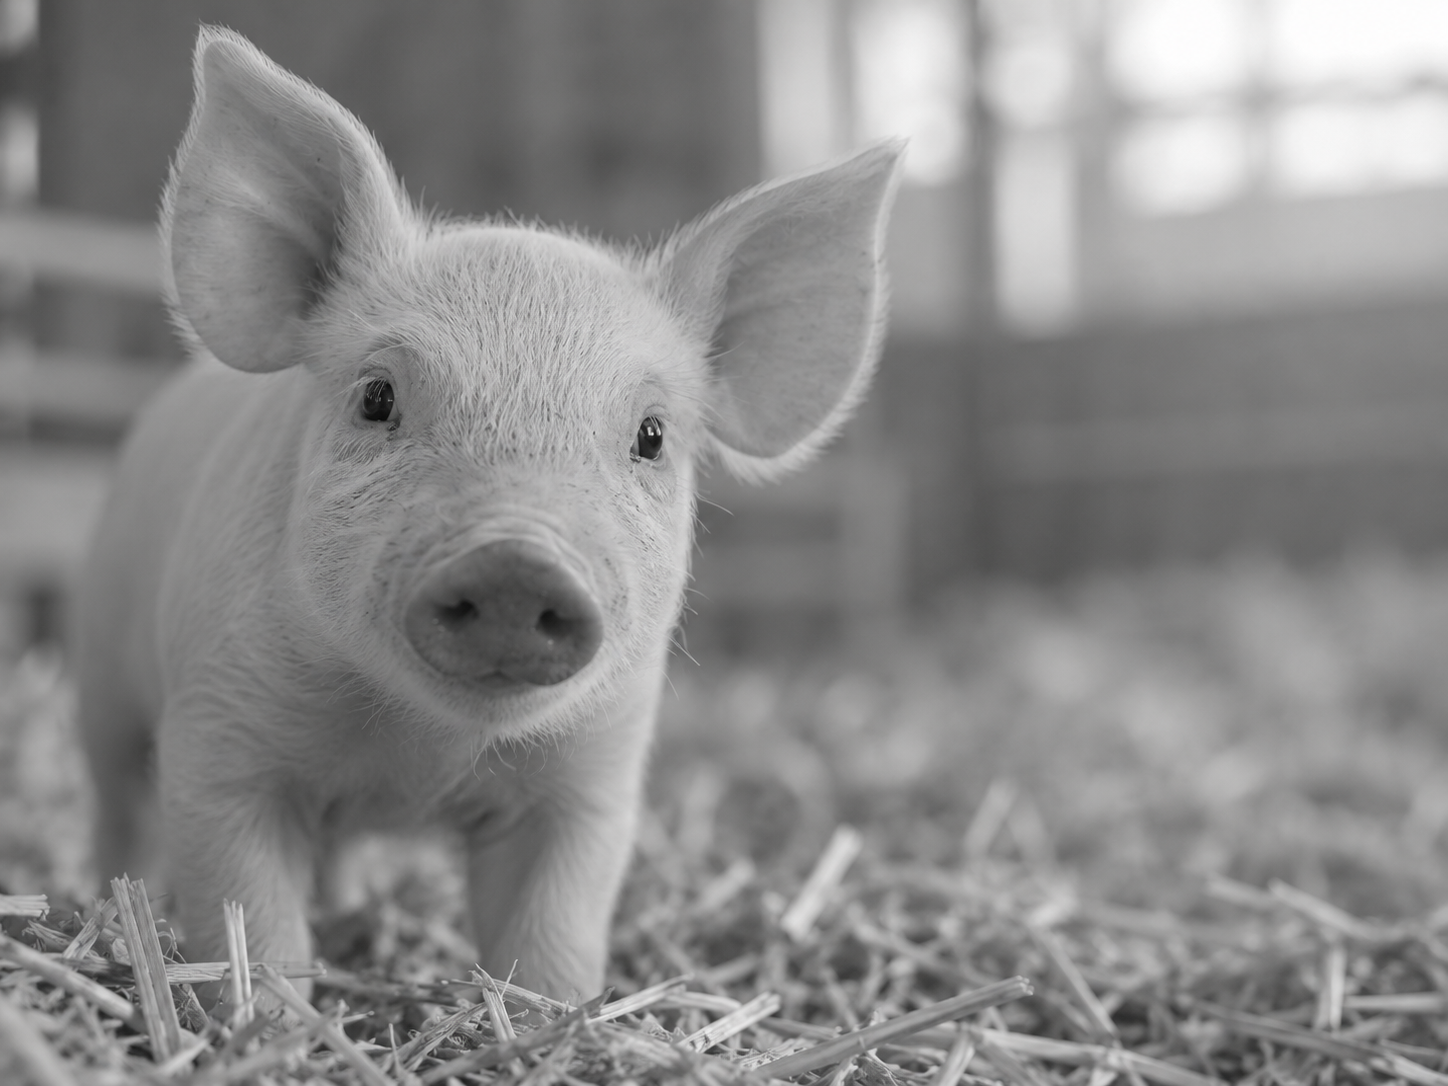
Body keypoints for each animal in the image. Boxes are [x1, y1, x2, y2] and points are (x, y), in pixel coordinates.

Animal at [74, 26, 902, 1004]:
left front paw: (553, 1011)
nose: (518, 561)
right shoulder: (220, 733)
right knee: (114, 803)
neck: (420, 756)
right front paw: (264, 1015)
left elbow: (553, 933)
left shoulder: (594, 777)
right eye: (377, 396)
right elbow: (250, 916)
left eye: (652, 435)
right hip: (101, 682)